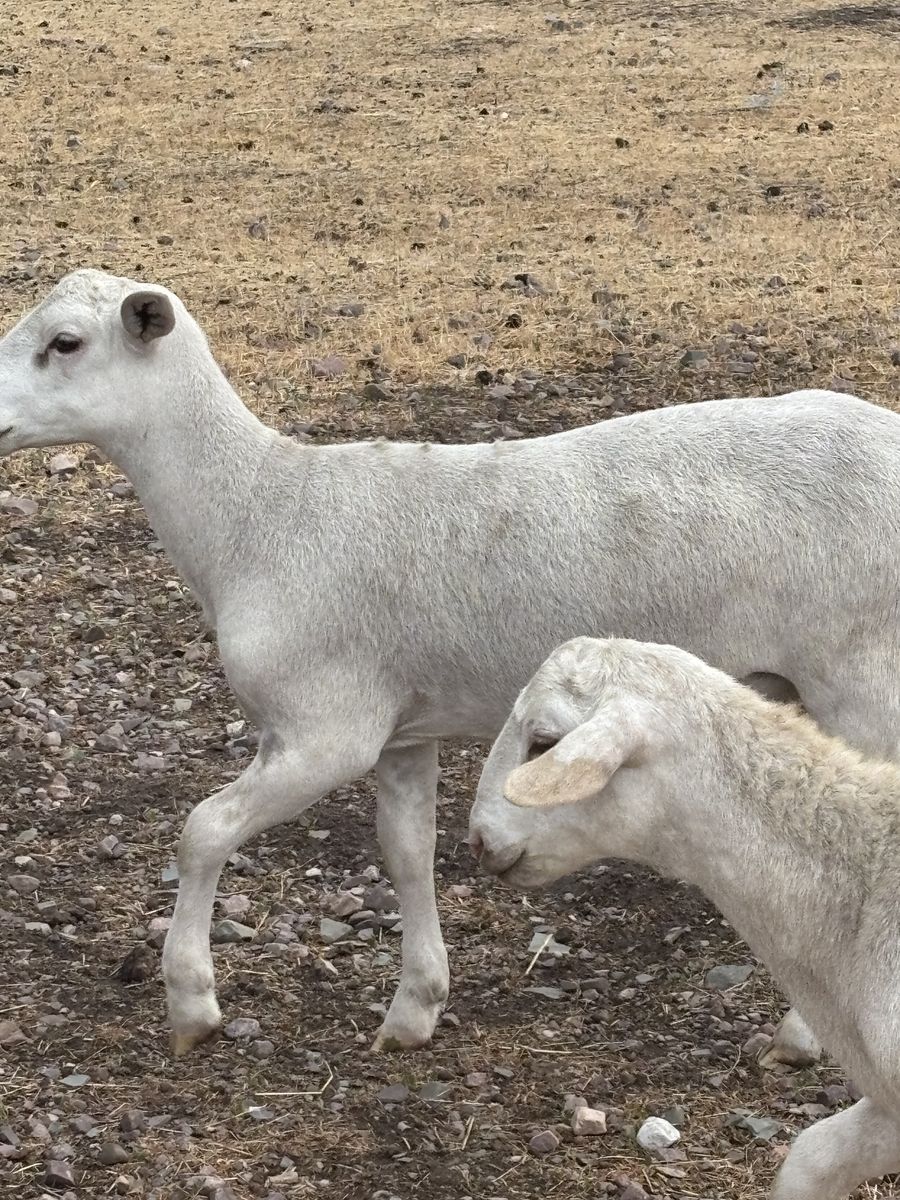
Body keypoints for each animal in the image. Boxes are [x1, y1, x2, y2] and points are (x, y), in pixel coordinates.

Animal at [3, 269, 900, 1062]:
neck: (257, 516)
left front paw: (192, 1004)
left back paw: (800, 1037)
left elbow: (202, 832)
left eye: (65, 343)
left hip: (863, 676)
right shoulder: (402, 730)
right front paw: (414, 1009)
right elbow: (406, 852)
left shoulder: (325, 731)